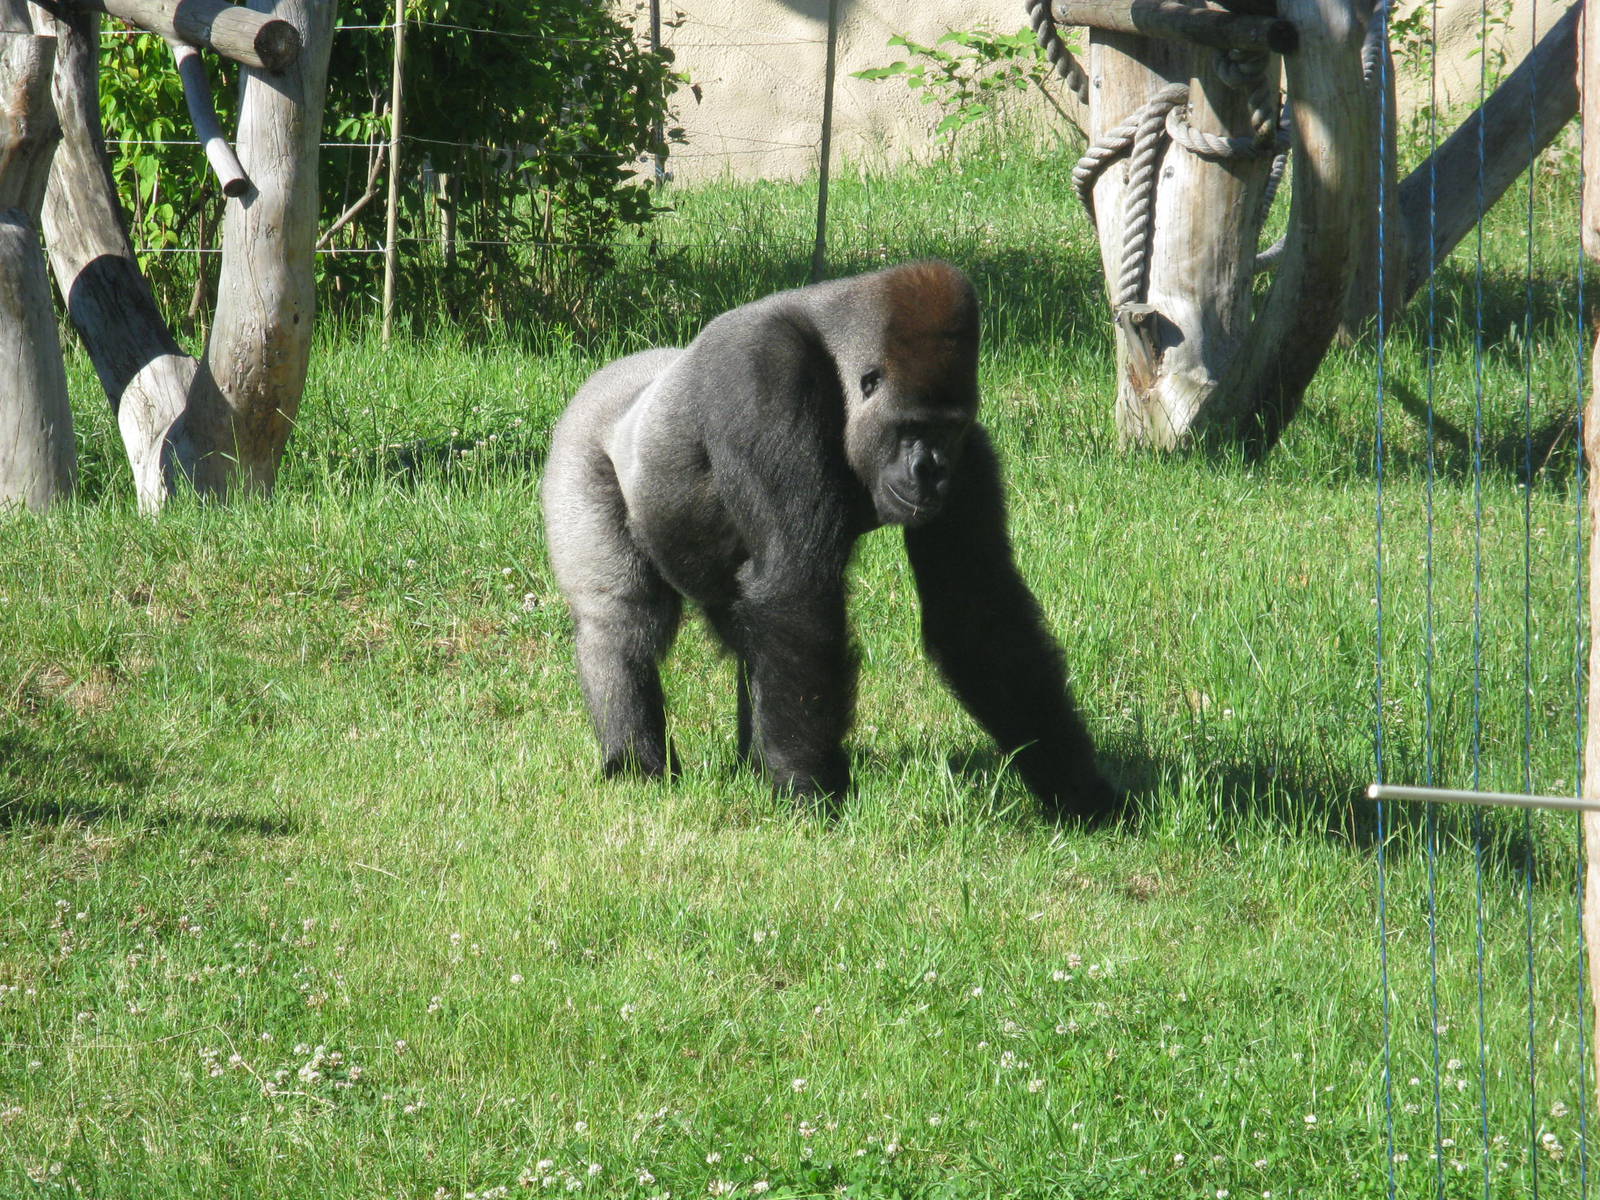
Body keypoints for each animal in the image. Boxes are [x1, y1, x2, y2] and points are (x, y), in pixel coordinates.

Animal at [540, 260, 1117, 822]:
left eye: (947, 430)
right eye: (911, 427)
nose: (930, 471)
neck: (835, 362)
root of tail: (609, 374)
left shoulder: (971, 452)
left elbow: (977, 615)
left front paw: (1078, 788)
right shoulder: (766, 375)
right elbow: (798, 586)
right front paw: (810, 789)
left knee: (746, 632)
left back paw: (750, 764)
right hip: (578, 447)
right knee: (621, 618)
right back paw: (635, 763)